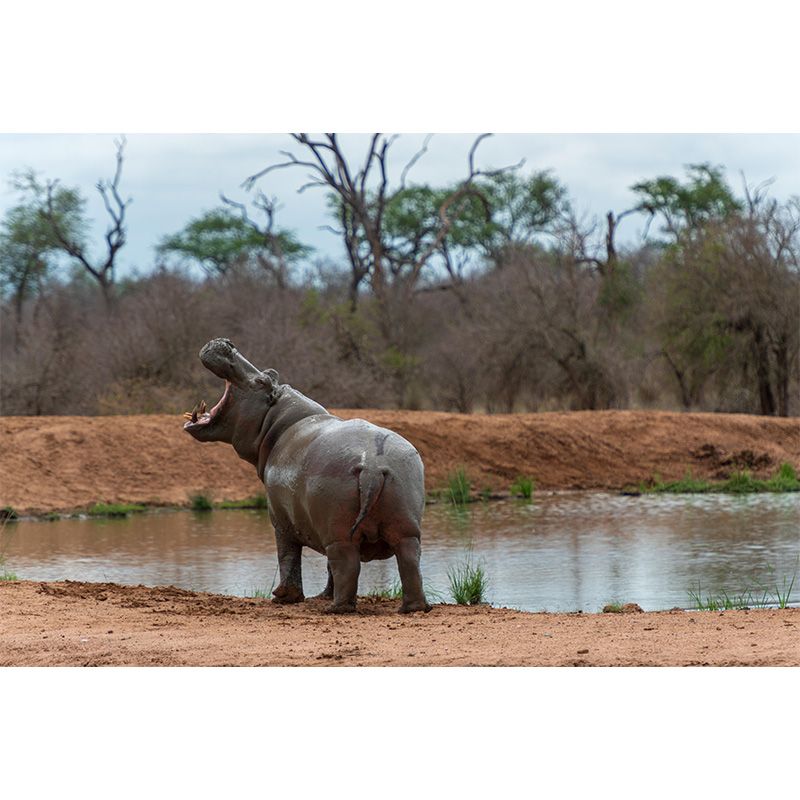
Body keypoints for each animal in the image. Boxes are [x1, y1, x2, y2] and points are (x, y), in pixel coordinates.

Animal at [183, 338, 431, 614]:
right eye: (269, 373)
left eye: (262, 381)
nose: (227, 343)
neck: (276, 420)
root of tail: (373, 466)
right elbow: (324, 567)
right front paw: (319, 595)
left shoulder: (280, 520)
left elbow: (287, 556)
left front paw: (283, 596)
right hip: (404, 527)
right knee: (408, 562)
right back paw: (412, 608)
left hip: (339, 534)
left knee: (346, 565)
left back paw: (336, 609)